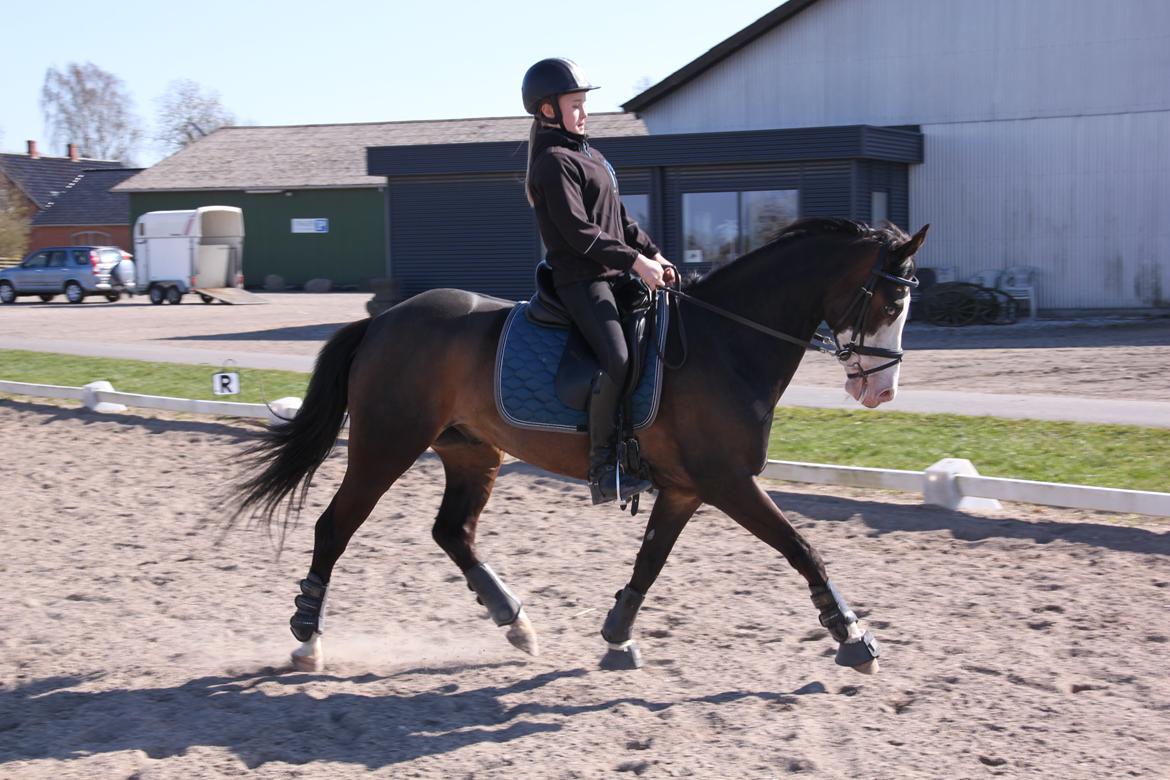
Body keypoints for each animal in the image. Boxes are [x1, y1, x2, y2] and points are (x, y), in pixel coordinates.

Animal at [235, 216, 931, 673]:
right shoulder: (728, 482)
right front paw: (853, 637)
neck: (726, 342)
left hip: (472, 452)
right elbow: (802, 548)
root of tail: (382, 319)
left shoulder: (686, 489)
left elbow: (649, 562)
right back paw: (306, 638)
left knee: (452, 532)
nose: (882, 390)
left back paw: (515, 624)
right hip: (386, 445)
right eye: (890, 300)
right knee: (334, 527)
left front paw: (618, 636)